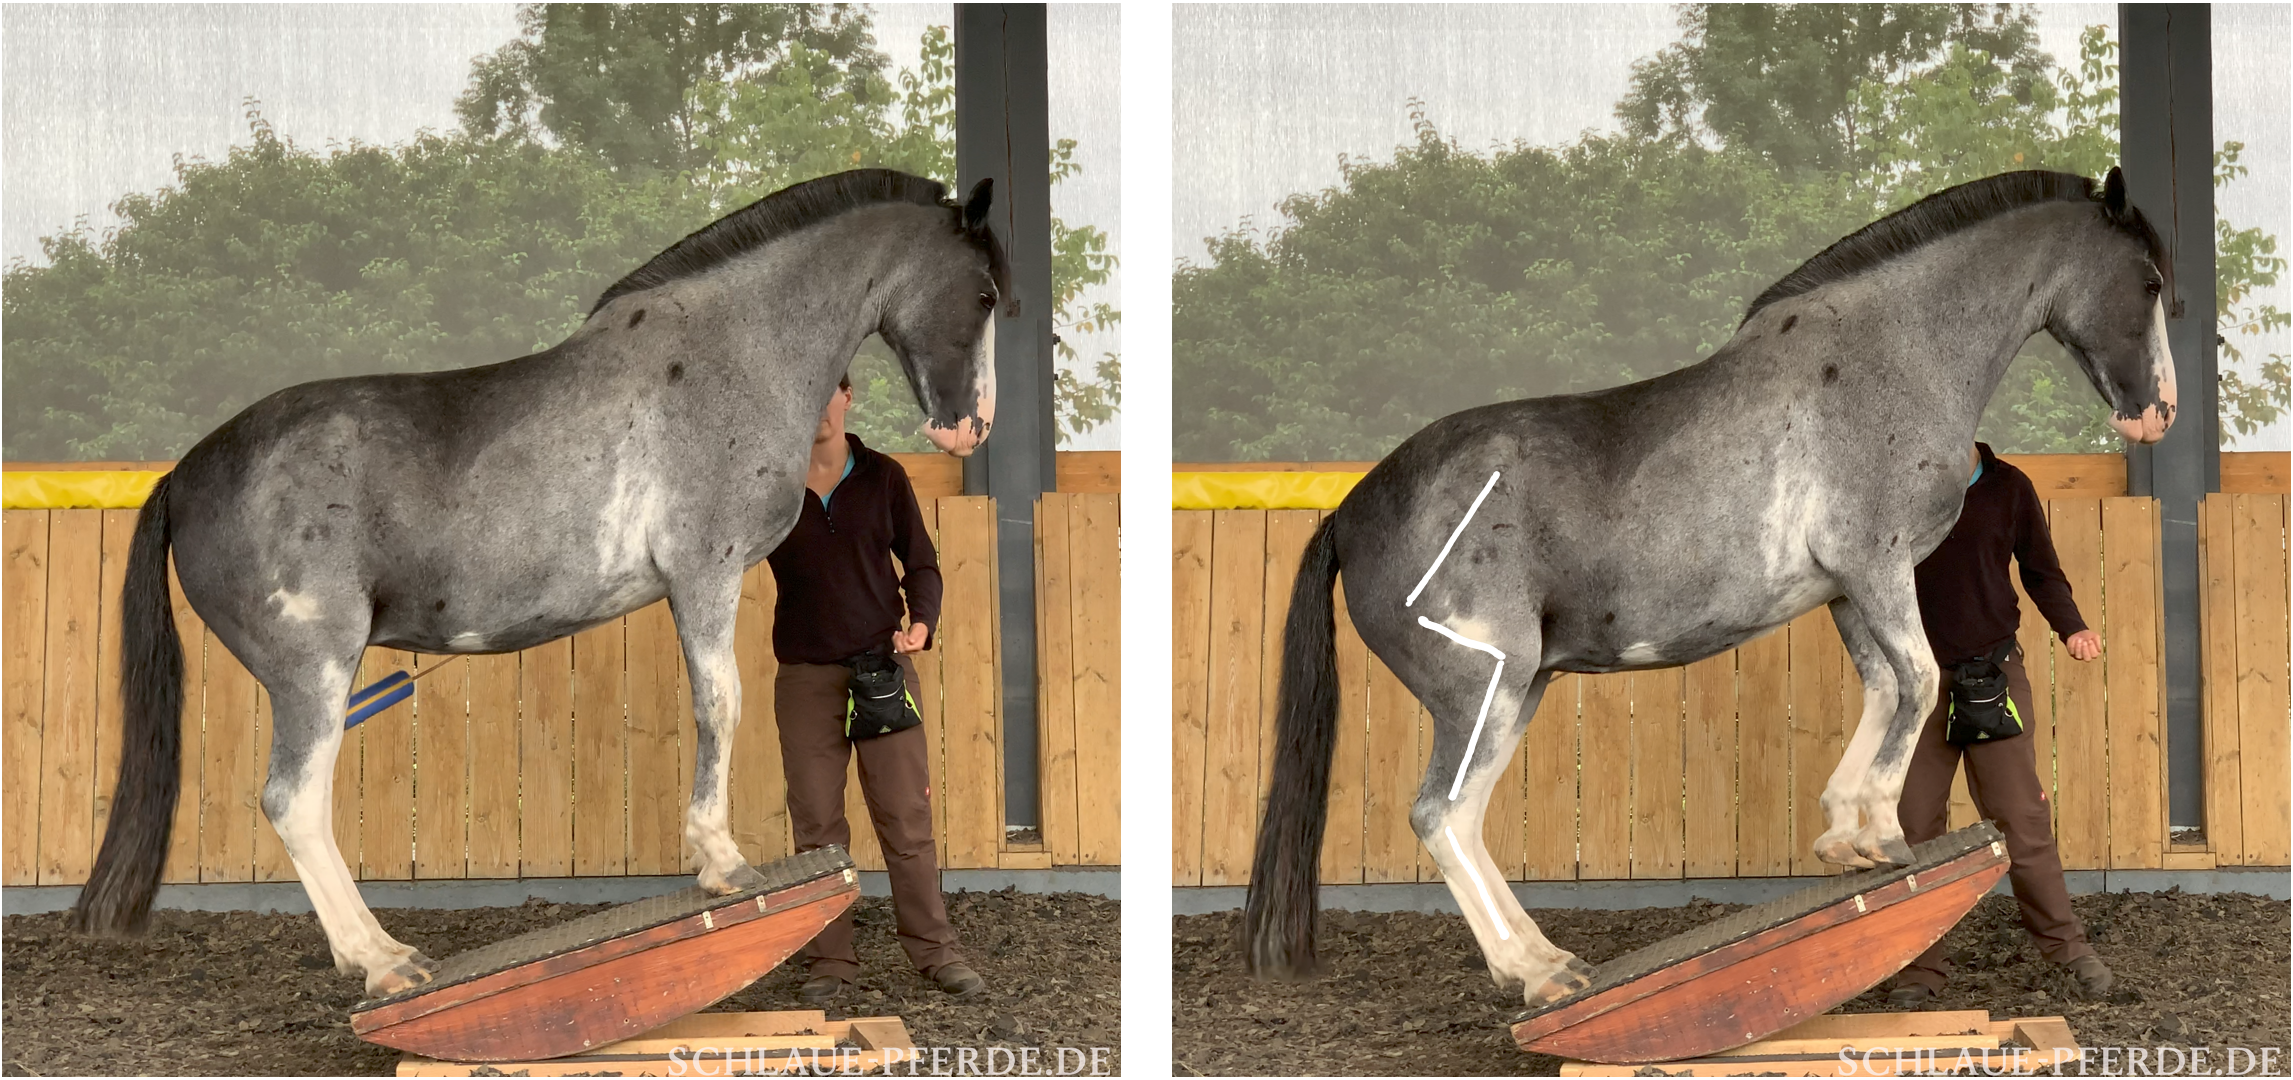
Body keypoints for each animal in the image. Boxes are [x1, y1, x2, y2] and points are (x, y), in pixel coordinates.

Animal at [70, 169, 1009, 998]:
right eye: (986, 295)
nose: (967, 427)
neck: (729, 352)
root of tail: (185, 475)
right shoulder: (702, 570)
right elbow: (721, 704)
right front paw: (723, 865)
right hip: (315, 672)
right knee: (294, 803)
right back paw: (384, 964)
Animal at [1244, 168, 2175, 1006]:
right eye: (2149, 281)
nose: (2156, 411)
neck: (1888, 357)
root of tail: (1349, 513)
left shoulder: (1846, 585)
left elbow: (1882, 685)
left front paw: (1844, 829)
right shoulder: (1875, 560)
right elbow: (1916, 679)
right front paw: (1878, 833)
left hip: (1518, 689)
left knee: (1461, 817)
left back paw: (1546, 964)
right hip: (1483, 690)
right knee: (1439, 816)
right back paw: (1539, 977)